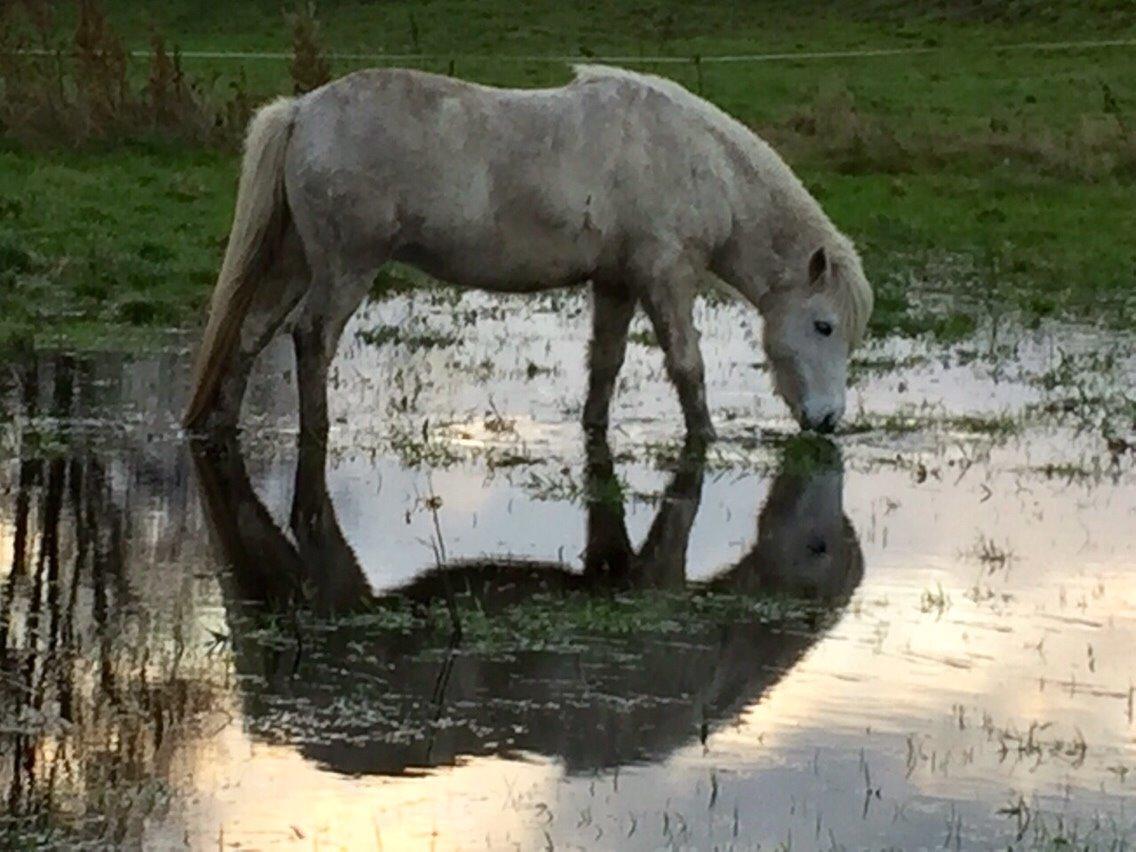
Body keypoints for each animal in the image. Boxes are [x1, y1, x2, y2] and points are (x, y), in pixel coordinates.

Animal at [186, 65, 872, 440]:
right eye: (823, 325)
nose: (828, 420)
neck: (695, 161)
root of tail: (303, 110)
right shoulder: (666, 279)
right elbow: (687, 366)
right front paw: (706, 438)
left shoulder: (617, 283)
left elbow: (606, 365)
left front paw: (594, 428)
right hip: (345, 267)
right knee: (311, 337)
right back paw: (317, 431)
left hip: (297, 260)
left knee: (251, 331)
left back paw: (222, 426)